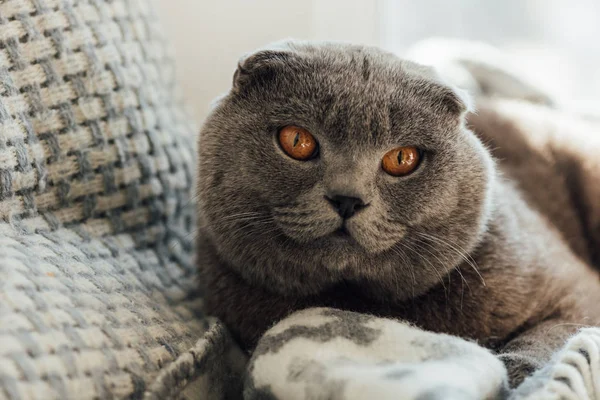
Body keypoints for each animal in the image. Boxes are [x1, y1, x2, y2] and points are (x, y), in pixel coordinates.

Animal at [196, 40, 600, 388]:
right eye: (297, 140)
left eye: (402, 158)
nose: (347, 199)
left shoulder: (574, 292)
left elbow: (555, 335)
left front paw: (517, 371)